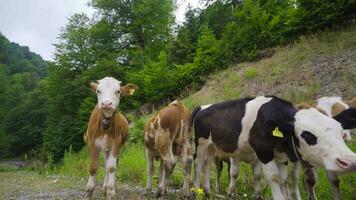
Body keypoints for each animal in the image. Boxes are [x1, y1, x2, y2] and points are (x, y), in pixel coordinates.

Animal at [191, 96, 356, 199]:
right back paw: (195, 191)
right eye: (307, 135)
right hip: (201, 143)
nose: (349, 161)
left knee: (207, 166)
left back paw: (207, 192)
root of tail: (203, 107)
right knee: (198, 165)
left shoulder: (281, 155)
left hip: (212, 147)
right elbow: (274, 177)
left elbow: (282, 178)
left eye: (340, 131)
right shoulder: (262, 150)